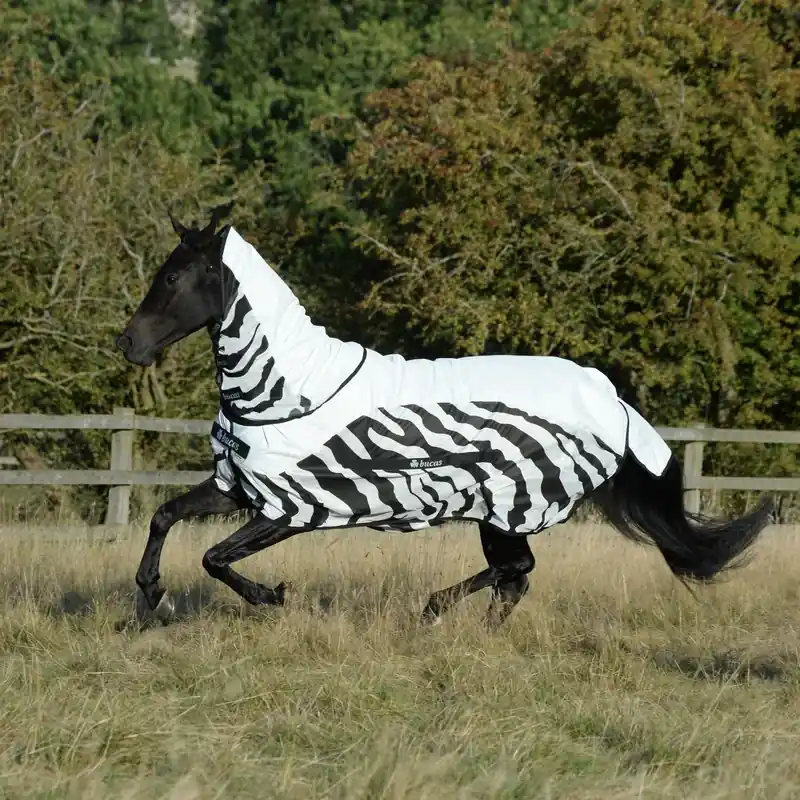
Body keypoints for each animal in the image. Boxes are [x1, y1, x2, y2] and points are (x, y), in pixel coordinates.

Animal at [116, 206, 773, 629]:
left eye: (173, 276)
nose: (127, 344)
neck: (285, 391)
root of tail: (612, 401)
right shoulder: (237, 488)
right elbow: (164, 516)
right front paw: (152, 596)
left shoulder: (293, 509)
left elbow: (215, 557)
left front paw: (271, 596)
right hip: (500, 514)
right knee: (515, 579)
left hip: (506, 507)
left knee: (516, 570)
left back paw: (432, 611)